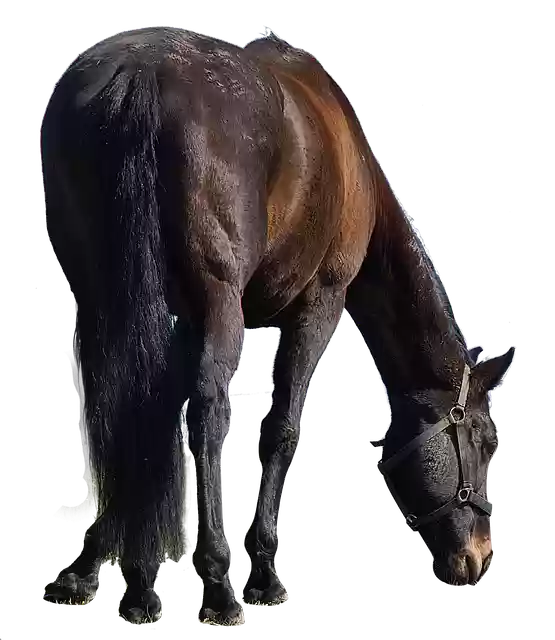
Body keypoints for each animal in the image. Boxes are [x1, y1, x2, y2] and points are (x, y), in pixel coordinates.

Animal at [39, 25, 517, 628]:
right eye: (486, 439)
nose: (480, 555)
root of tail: (140, 75)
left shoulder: (176, 319)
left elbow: (153, 415)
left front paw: (128, 571)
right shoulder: (319, 306)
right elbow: (281, 429)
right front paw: (263, 574)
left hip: (101, 295)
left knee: (111, 406)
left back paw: (100, 573)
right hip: (220, 303)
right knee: (211, 412)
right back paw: (219, 583)